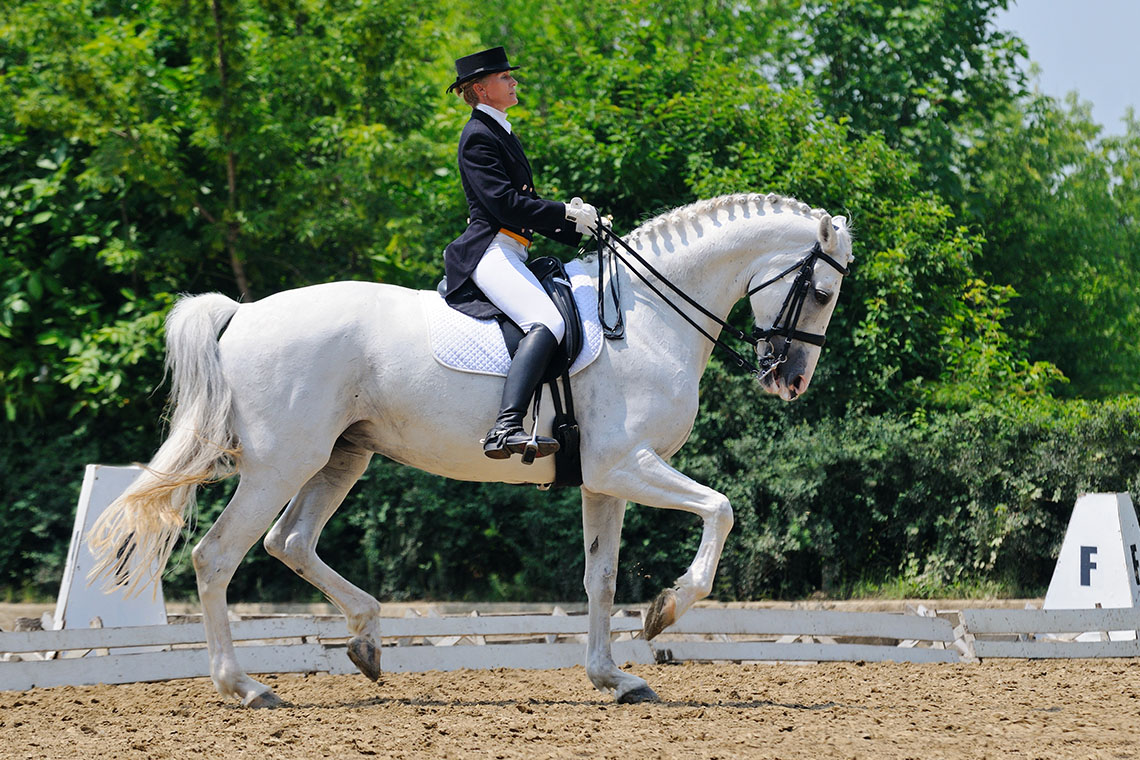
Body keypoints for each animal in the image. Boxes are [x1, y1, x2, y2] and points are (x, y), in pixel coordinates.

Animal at [88, 192, 853, 707]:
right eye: (819, 291)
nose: (788, 381)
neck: (647, 318)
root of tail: (243, 312)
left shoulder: (602, 481)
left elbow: (599, 579)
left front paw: (612, 677)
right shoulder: (626, 464)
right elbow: (720, 509)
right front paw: (666, 609)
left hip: (340, 457)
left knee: (290, 542)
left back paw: (366, 641)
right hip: (283, 463)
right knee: (217, 556)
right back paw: (246, 687)